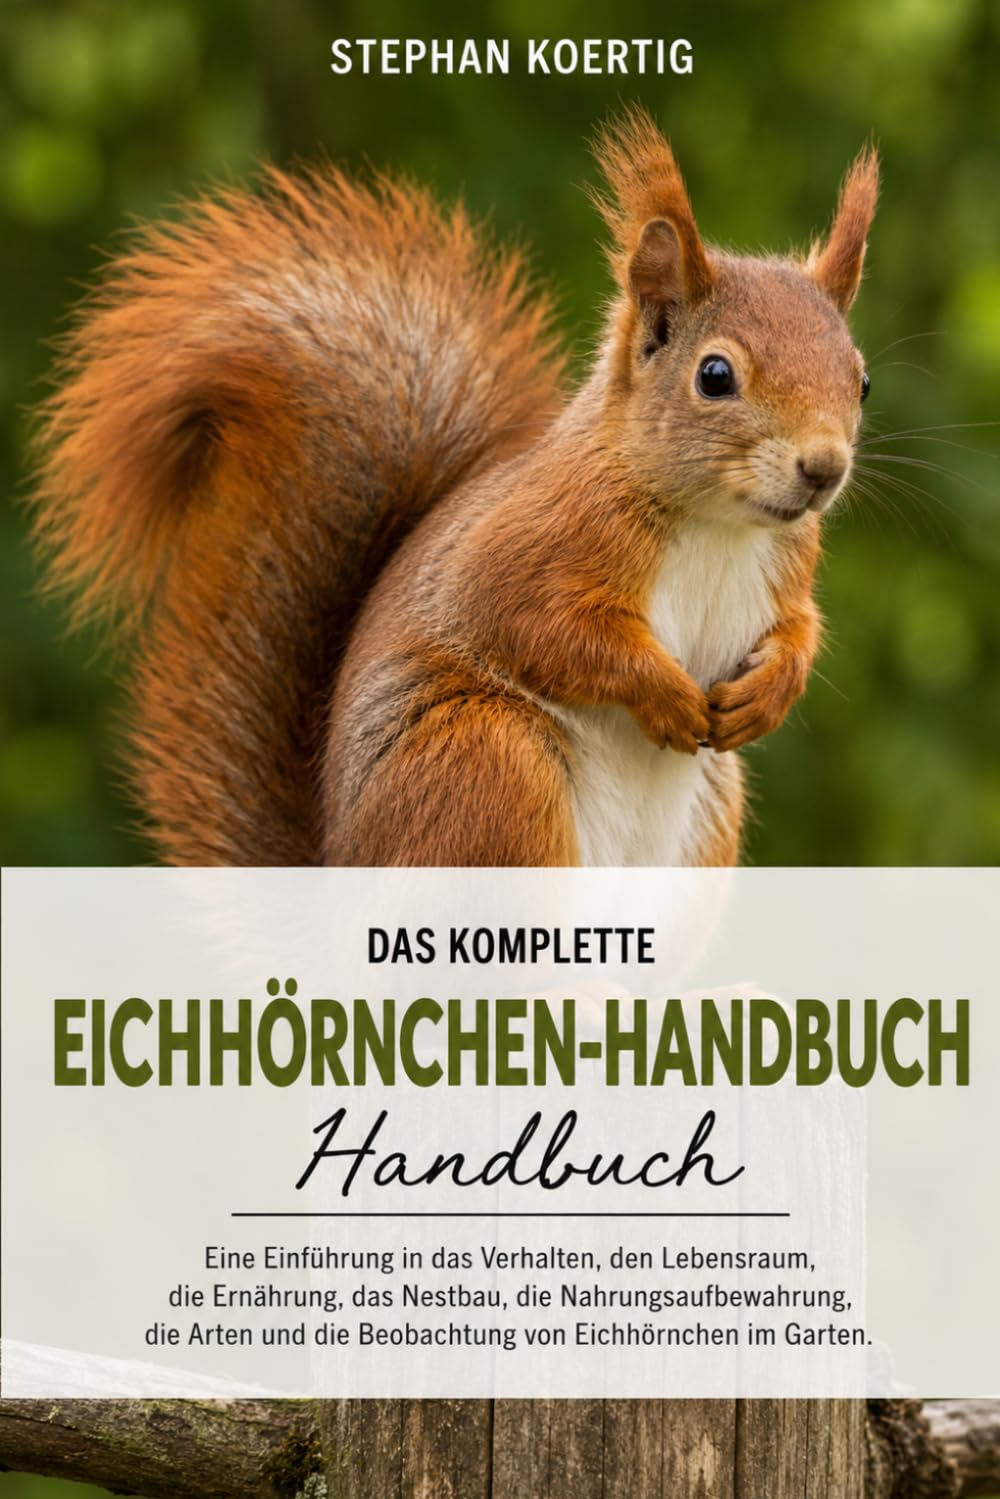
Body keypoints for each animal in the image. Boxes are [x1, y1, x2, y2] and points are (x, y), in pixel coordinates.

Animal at [30, 109, 878, 867]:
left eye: (862, 379)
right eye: (715, 375)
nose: (823, 468)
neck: (718, 526)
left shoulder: (787, 566)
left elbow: (798, 627)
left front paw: (774, 686)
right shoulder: (534, 542)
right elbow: (539, 625)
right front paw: (663, 693)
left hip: (702, 815)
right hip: (486, 763)